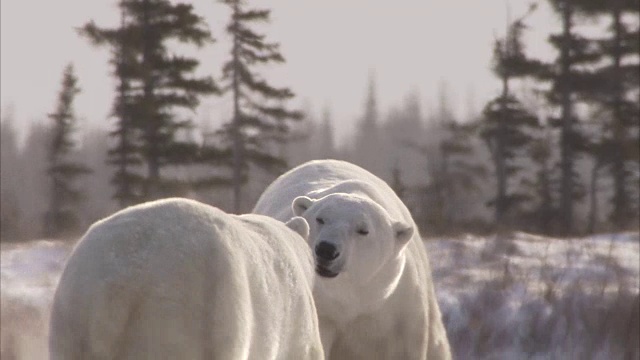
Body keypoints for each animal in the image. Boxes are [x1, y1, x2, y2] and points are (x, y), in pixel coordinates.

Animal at [252, 161, 452, 360]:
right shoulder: (325, 312)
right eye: (320, 219)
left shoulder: (399, 305)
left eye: (363, 230)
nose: (326, 249)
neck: (352, 296)